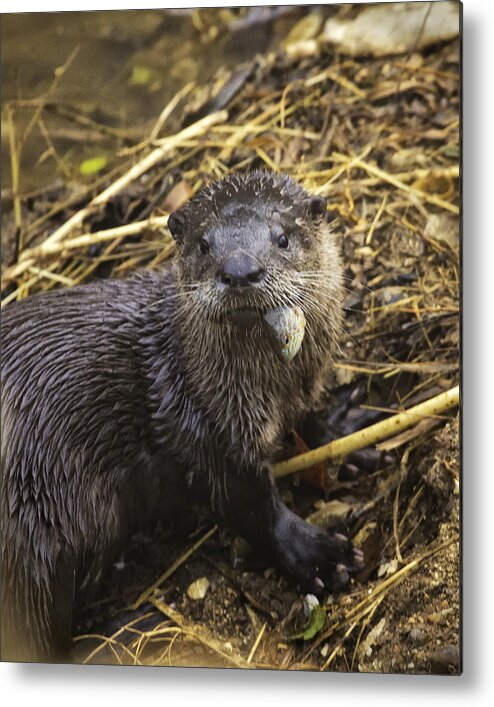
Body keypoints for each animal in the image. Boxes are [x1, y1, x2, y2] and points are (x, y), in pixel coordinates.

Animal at [0, 171, 362, 664]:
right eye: (204, 245)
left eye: (283, 238)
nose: (240, 271)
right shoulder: (207, 431)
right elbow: (253, 509)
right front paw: (317, 554)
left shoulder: (294, 396)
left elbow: (307, 422)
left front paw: (346, 430)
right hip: (29, 541)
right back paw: (128, 626)